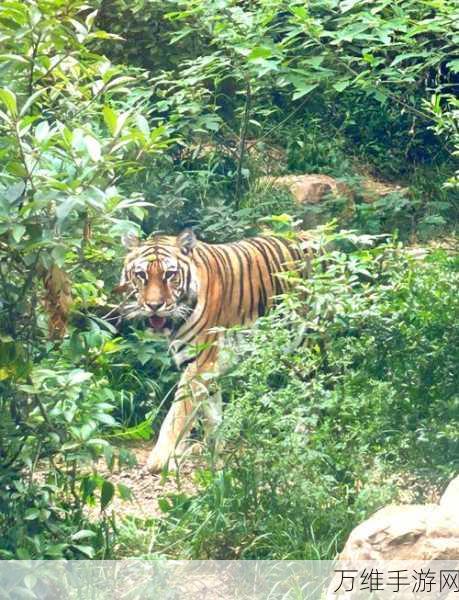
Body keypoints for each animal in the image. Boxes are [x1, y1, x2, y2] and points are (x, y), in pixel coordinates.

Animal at [119, 227, 312, 472]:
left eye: (170, 274)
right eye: (141, 274)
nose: (154, 306)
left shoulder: (202, 364)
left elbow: (178, 413)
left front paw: (160, 460)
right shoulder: (201, 365)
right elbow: (211, 413)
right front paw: (214, 454)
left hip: (307, 347)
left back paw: (300, 442)